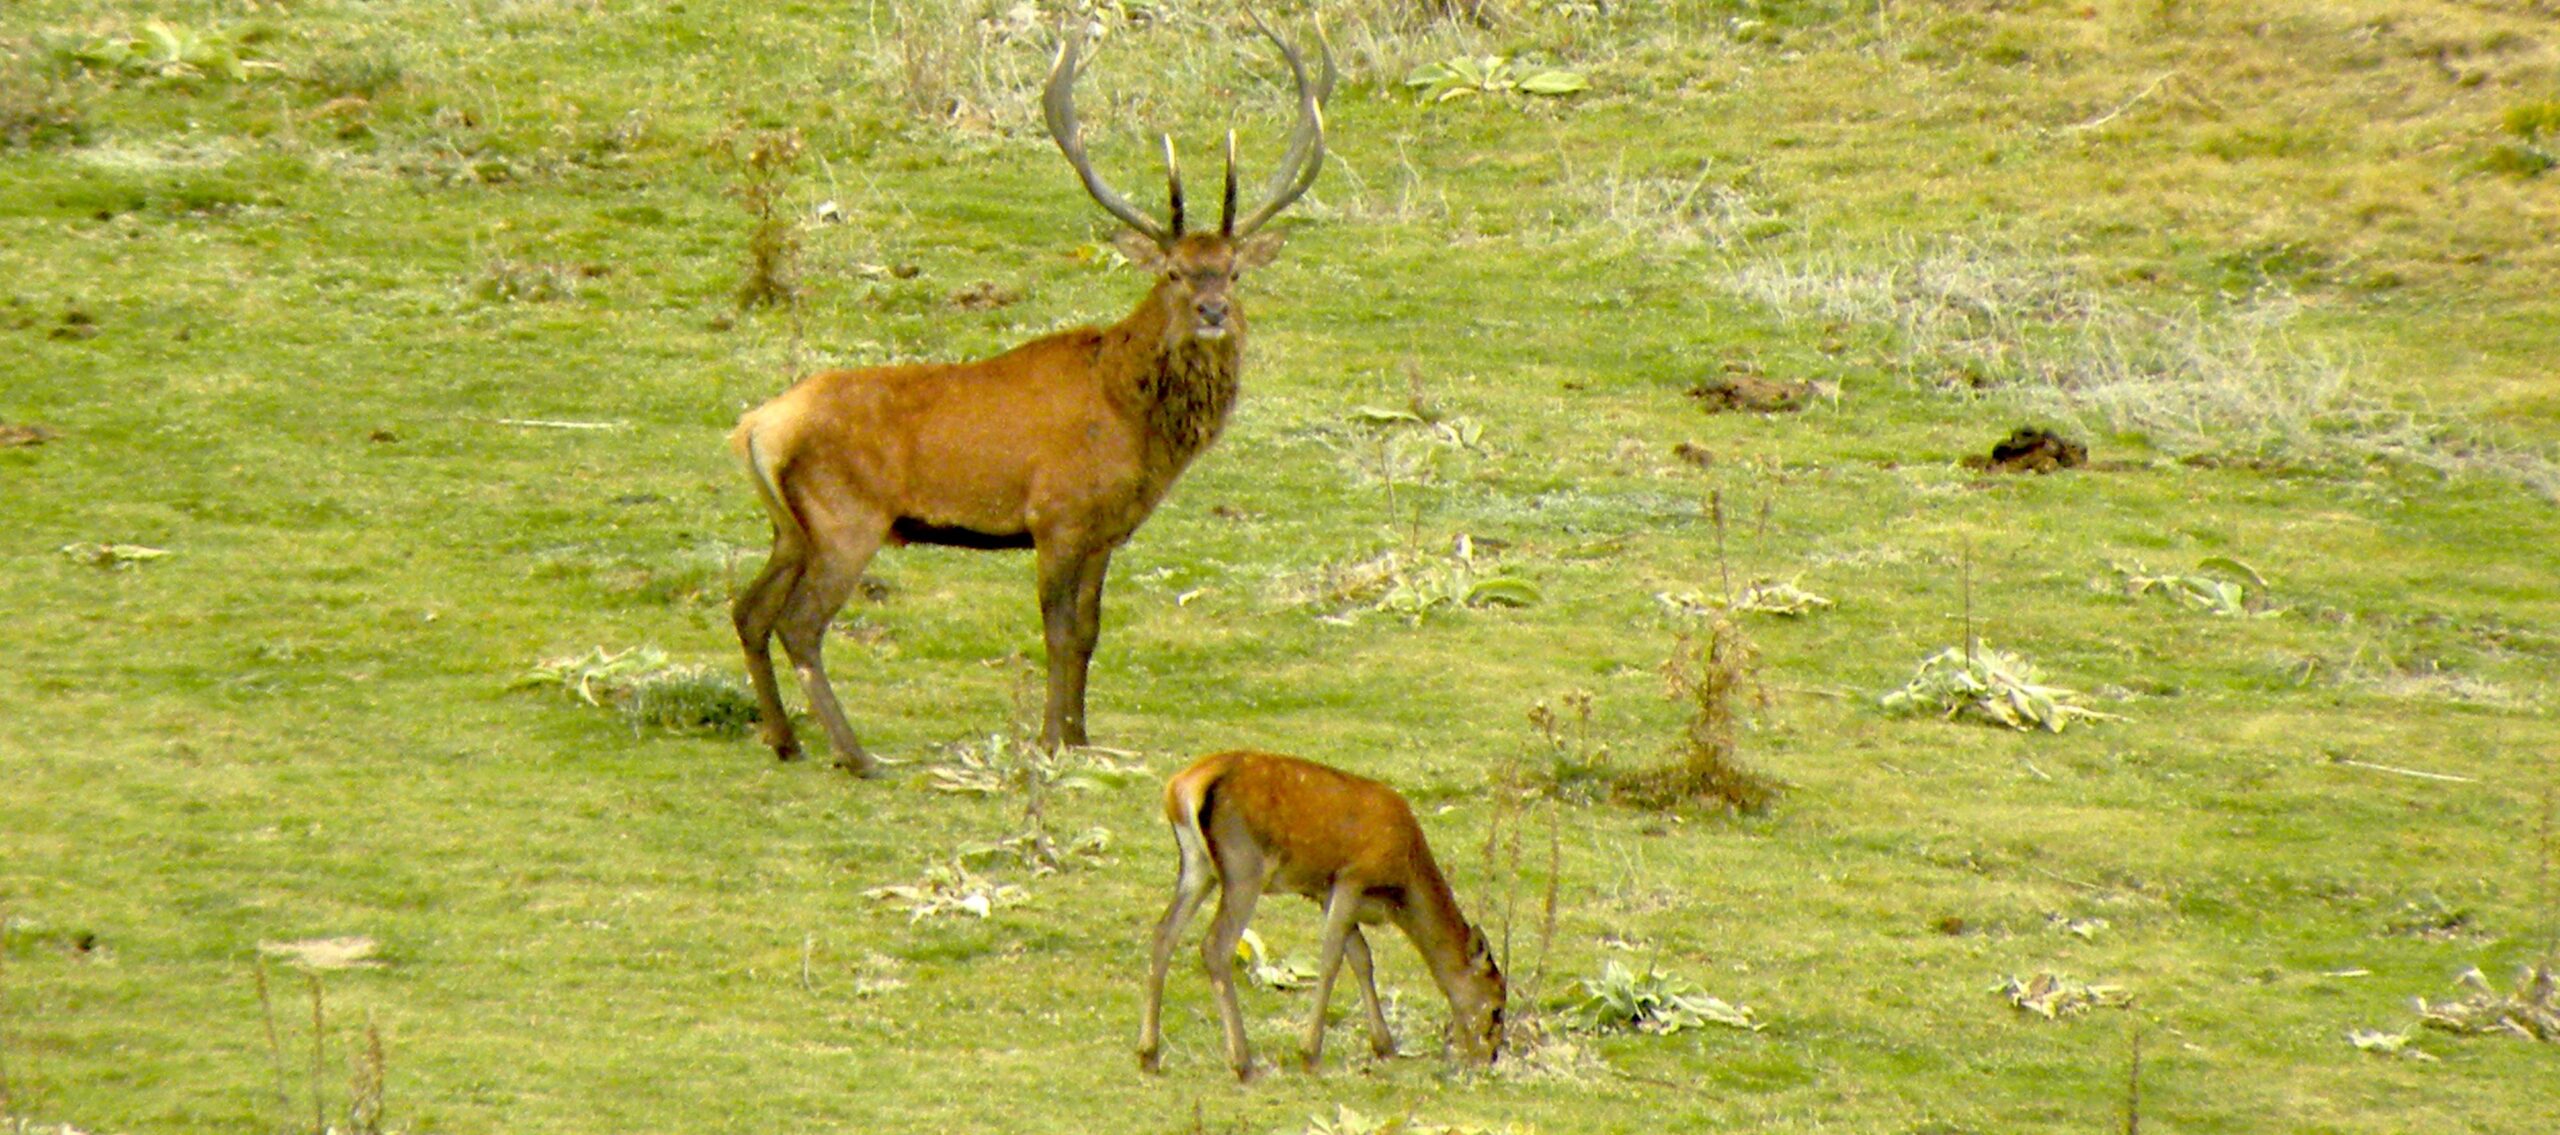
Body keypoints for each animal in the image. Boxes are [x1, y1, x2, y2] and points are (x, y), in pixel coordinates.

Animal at [721, 20, 1320, 783]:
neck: (1132, 422)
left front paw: (1083, 735)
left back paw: (784, 738)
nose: (1213, 311)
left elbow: (1090, 630)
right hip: (844, 518)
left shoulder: (1106, 531)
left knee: (748, 609)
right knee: (799, 624)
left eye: (1235, 271)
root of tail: (755, 426)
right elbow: (1058, 632)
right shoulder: (1056, 516)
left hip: (789, 528)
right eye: (1175, 272)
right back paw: (857, 755)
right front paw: (1050, 740)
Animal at [1136, 753, 1495, 1081]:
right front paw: (1310, 1053)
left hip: (1197, 866)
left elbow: (1361, 957)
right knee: (1216, 945)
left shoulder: (1324, 892)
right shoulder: (1351, 878)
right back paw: (1243, 1063)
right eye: (1496, 1008)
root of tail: (1182, 786)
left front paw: (1385, 1045)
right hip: (1244, 867)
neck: (1401, 884)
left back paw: (1148, 1054)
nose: (1489, 1057)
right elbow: (1332, 958)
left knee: (1164, 931)